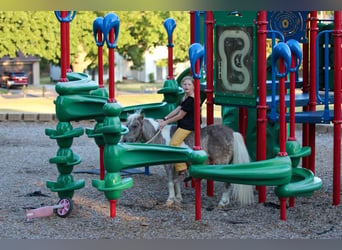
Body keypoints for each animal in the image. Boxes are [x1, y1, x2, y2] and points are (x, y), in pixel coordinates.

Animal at [121, 111, 254, 207]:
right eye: (127, 125)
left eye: (135, 125)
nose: (124, 141)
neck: (159, 135)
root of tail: (232, 133)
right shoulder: (176, 164)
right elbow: (176, 182)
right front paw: (178, 198)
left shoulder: (168, 164)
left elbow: (170, 181)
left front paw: (170, 199)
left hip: (222, 164)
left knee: (226, 182)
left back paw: (222, 202)